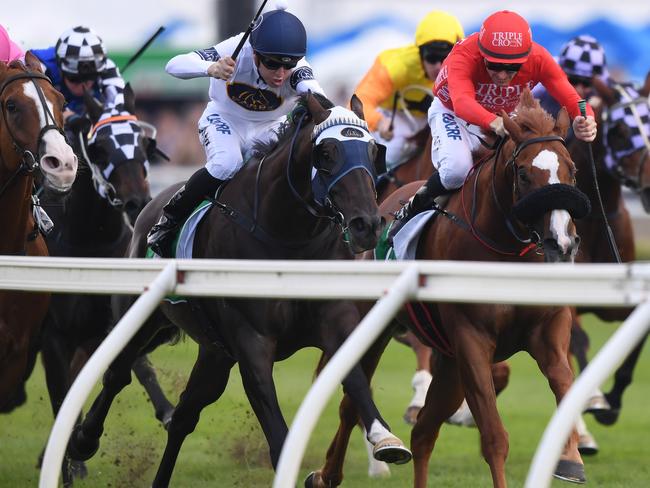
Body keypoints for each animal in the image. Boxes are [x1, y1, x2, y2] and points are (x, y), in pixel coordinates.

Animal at [37, 84, 170, 484]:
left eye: (144, 147)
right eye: (100, 149)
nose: (137, 201)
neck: (89, 243)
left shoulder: (111, 324)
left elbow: (132, 366)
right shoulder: (54, 336)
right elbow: (62, 397)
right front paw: (65, 463)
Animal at [66, 93, 410, 486]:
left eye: (373, 151)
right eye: (326, 153)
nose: (366, 225)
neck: (289, 240)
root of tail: (149, 207)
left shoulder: (334, 320)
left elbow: (354, 381)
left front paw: (385, 439)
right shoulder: (251, 341)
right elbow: (277, 434)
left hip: (215, 352)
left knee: (183, 416)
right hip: (142, 318)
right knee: (118, 372)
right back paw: (83, 440)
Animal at [306, 89, 588, 486]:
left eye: (572, 170)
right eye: (523, 173)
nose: (561, 243)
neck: (506, 250)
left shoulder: (547, 328)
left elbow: (564, 381)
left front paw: (571, 458)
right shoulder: (471, 339)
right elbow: (494, 437)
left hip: (450, 361)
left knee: (424, 431)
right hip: (374, 329)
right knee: (351, 404)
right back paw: (328, 473)